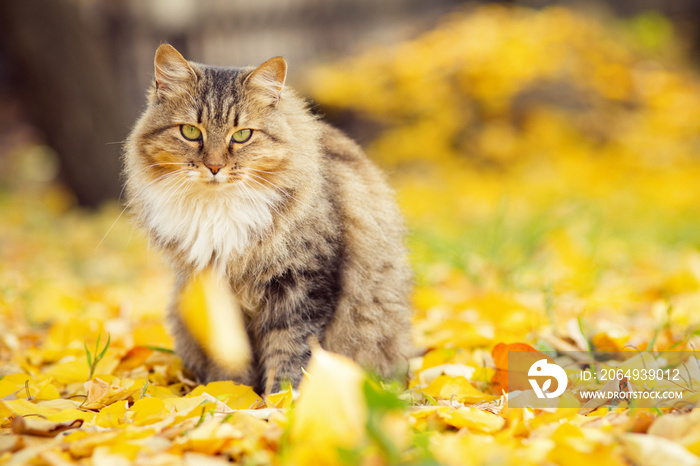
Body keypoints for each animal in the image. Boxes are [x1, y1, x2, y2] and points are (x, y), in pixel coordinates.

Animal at [123, 44, 412, 394]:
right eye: (190, 132)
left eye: (242, 135)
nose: (214, 167)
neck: (220, 212)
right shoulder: (211, 289)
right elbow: (230, 355)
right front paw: (231, 394)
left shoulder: (303, 284)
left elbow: (291, 350)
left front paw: (281, 399)